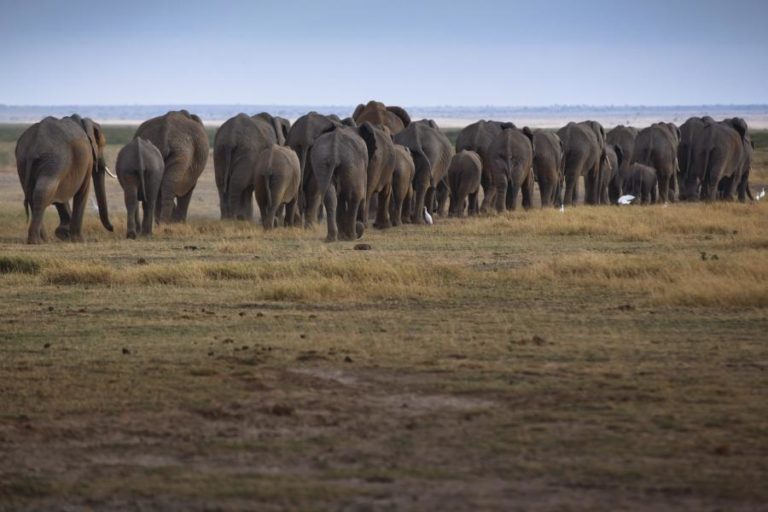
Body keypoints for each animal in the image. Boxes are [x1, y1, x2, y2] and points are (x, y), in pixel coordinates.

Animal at [15, 115, 113, 244]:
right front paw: (78, 239)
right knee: (44, 191)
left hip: (23, 160)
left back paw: (43, 239)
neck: (82, 121)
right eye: (102, 145)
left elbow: (61, 194)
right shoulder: (87, 159)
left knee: (33, 194)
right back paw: (36, 241)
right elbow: (83, 190)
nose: (112, 228)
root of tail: (34, 146)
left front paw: (64, 234)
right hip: (54, 160)